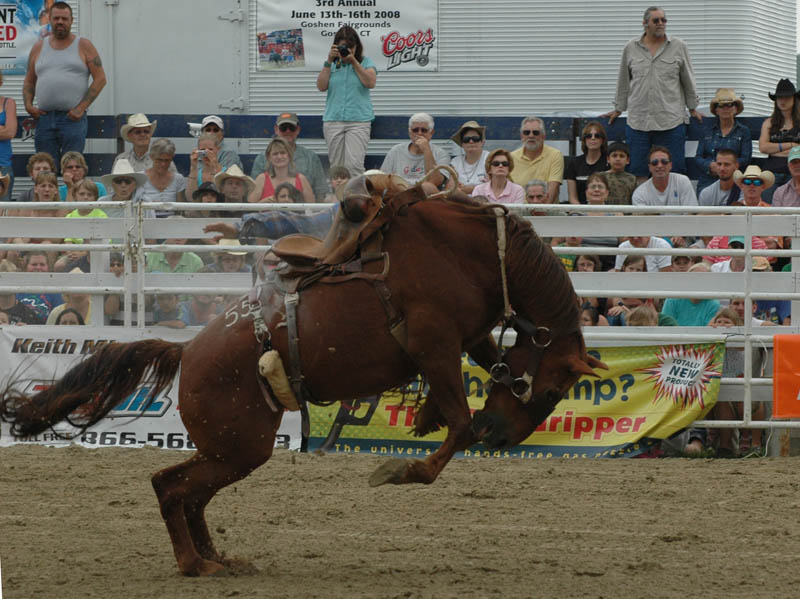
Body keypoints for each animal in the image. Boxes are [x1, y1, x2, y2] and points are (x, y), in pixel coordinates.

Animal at [0, 173, 600, 576]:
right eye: (550, 389)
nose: (502, 436)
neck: (473, 253)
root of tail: (187, 351)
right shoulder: (434, 344)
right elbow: (458, 425)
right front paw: (401, 469)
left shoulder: (467, 339)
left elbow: (473, 387)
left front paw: (425, 420)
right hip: (240, 447)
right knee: (170, 487)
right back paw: (197, 564)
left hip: (231, 448)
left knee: (187, 493)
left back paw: (217, 558)